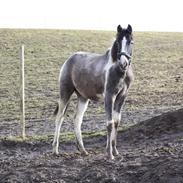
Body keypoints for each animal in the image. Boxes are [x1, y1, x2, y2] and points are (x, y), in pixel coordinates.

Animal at [52, 24, 134, 160]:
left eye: (130, 41)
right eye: (118, 41)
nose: (124, 63)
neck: (118, 70)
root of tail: (69, 60)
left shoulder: (122, 96)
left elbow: (116, 122)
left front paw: (115, 151)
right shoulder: (109, 96)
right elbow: (110, 123)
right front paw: (109, 154)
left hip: (83, 97)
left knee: (77, 119)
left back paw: (83, 150)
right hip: (65, 92)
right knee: (59, 118)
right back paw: (55, 150)